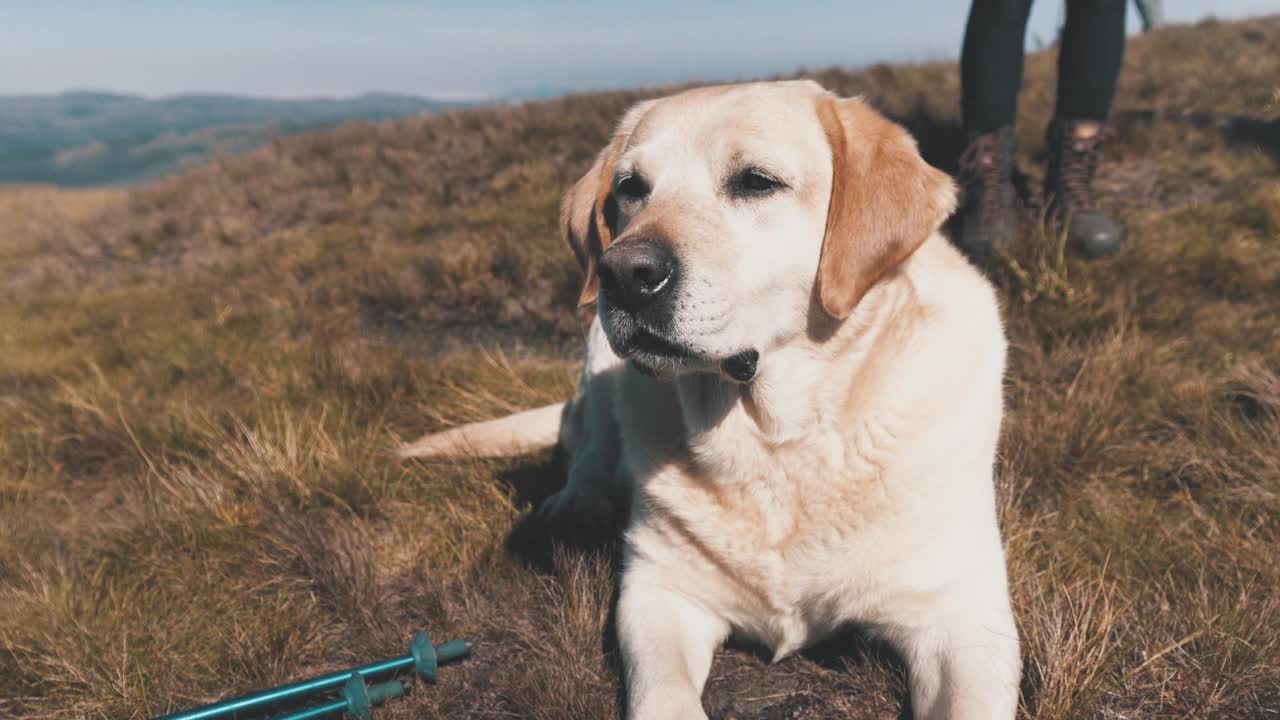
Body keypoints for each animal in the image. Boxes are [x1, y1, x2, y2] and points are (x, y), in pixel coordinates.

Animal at [399, 81, 1018, 712]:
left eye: (756, 181)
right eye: (630, 188)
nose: (623, 274)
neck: (775, 443)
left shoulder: (962, 615)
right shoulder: (658, 591)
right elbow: (664, 697)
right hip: (596, 348)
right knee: (591, 446)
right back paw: (577, 502)